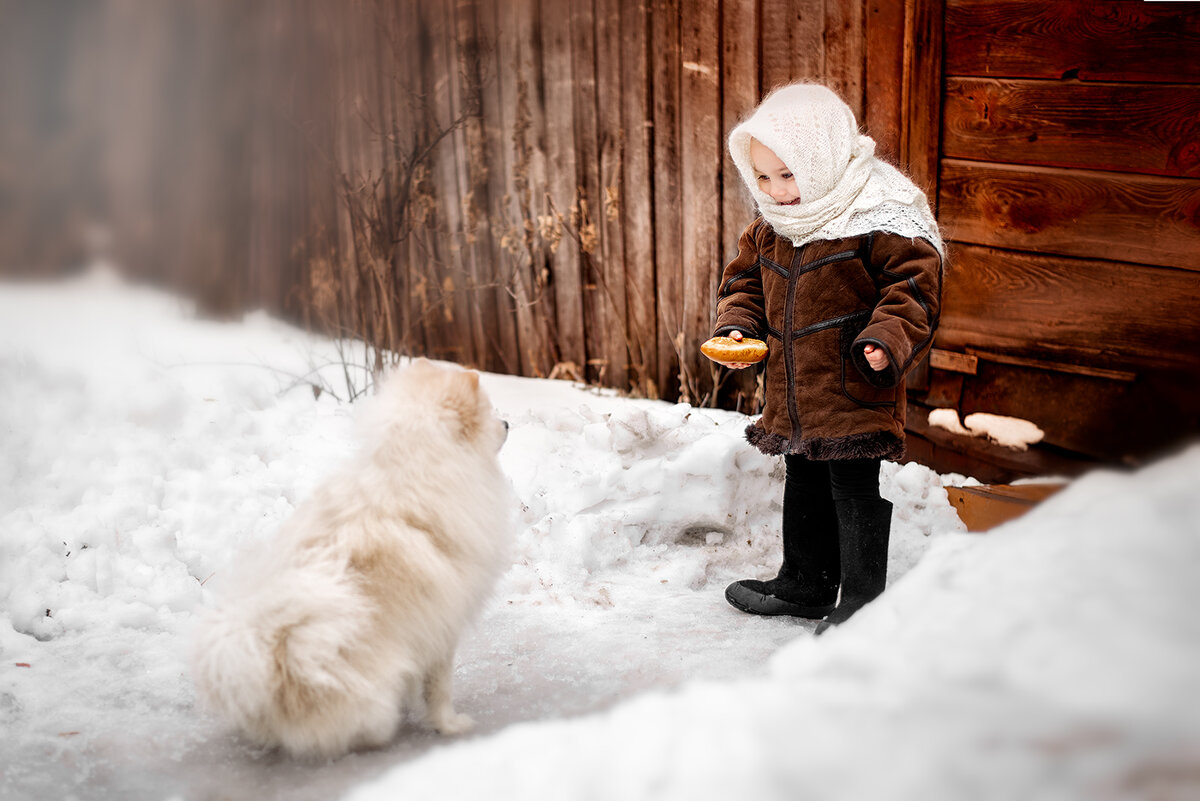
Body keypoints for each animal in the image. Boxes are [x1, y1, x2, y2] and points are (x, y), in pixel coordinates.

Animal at [190, 359, 511, 762]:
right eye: (490, 412)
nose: (508, 424)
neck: (414, 467)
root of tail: (269, 671)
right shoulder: (443, 626)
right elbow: (440, 690)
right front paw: (450, 726)